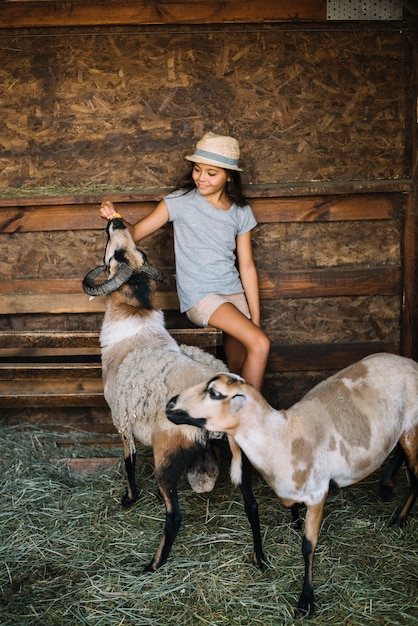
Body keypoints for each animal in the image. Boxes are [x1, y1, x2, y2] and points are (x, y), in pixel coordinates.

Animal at [82, 218, 266, 572]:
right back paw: (261, 560)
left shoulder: (122, 421)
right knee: (252, 506)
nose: (117, 221)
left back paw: (152, 565)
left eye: (115, 259)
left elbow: (128, 461)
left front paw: (129, 499)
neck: (136, 325)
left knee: (175, 516)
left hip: (166, 458)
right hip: (241, 459)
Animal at [167, 352, 418, 616]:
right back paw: (387, 486)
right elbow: (291, 507)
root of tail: (407, 360)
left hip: (412, 427)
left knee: (415, 475)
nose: (169, 405)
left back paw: (399, 518)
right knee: (399, 452)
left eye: (215, 393)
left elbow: (308, 546)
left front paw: (306, 600)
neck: (283, 435)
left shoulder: (318, 494)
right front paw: (295, 522)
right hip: (401, 431)